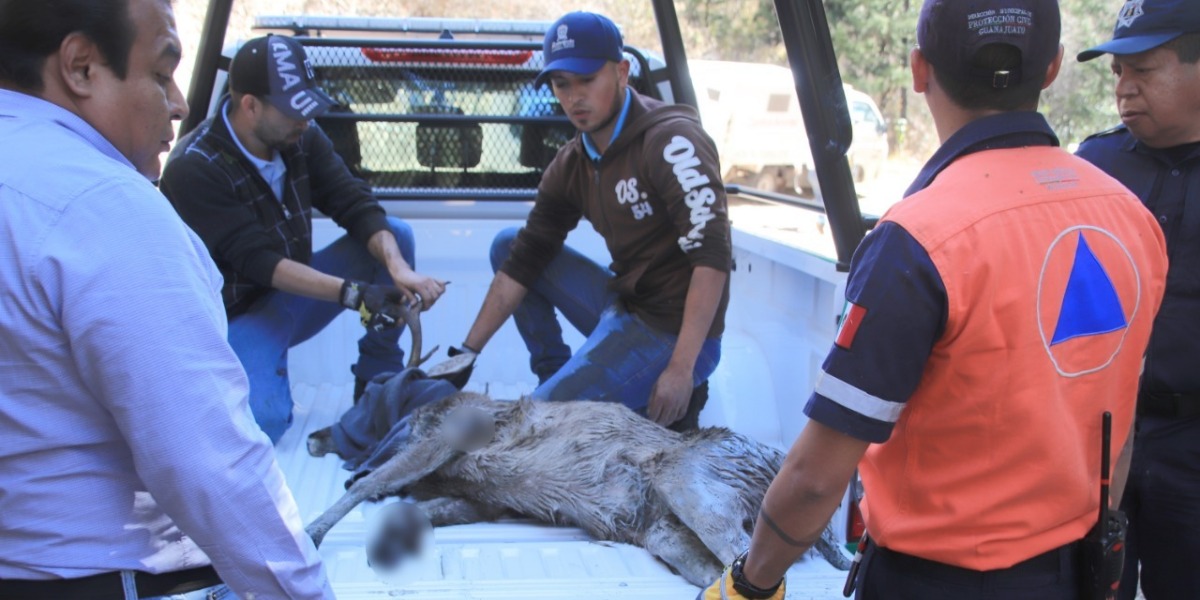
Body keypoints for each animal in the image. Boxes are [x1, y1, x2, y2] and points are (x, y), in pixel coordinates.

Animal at [304, 304, 849, 585]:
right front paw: (392, 538)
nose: (311, 438)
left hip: (691, 478)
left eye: (364, 399)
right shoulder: (483, 500)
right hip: (666, 533)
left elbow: (369, 484)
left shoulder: (450, 435)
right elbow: (416, 506)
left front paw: (310, 534)